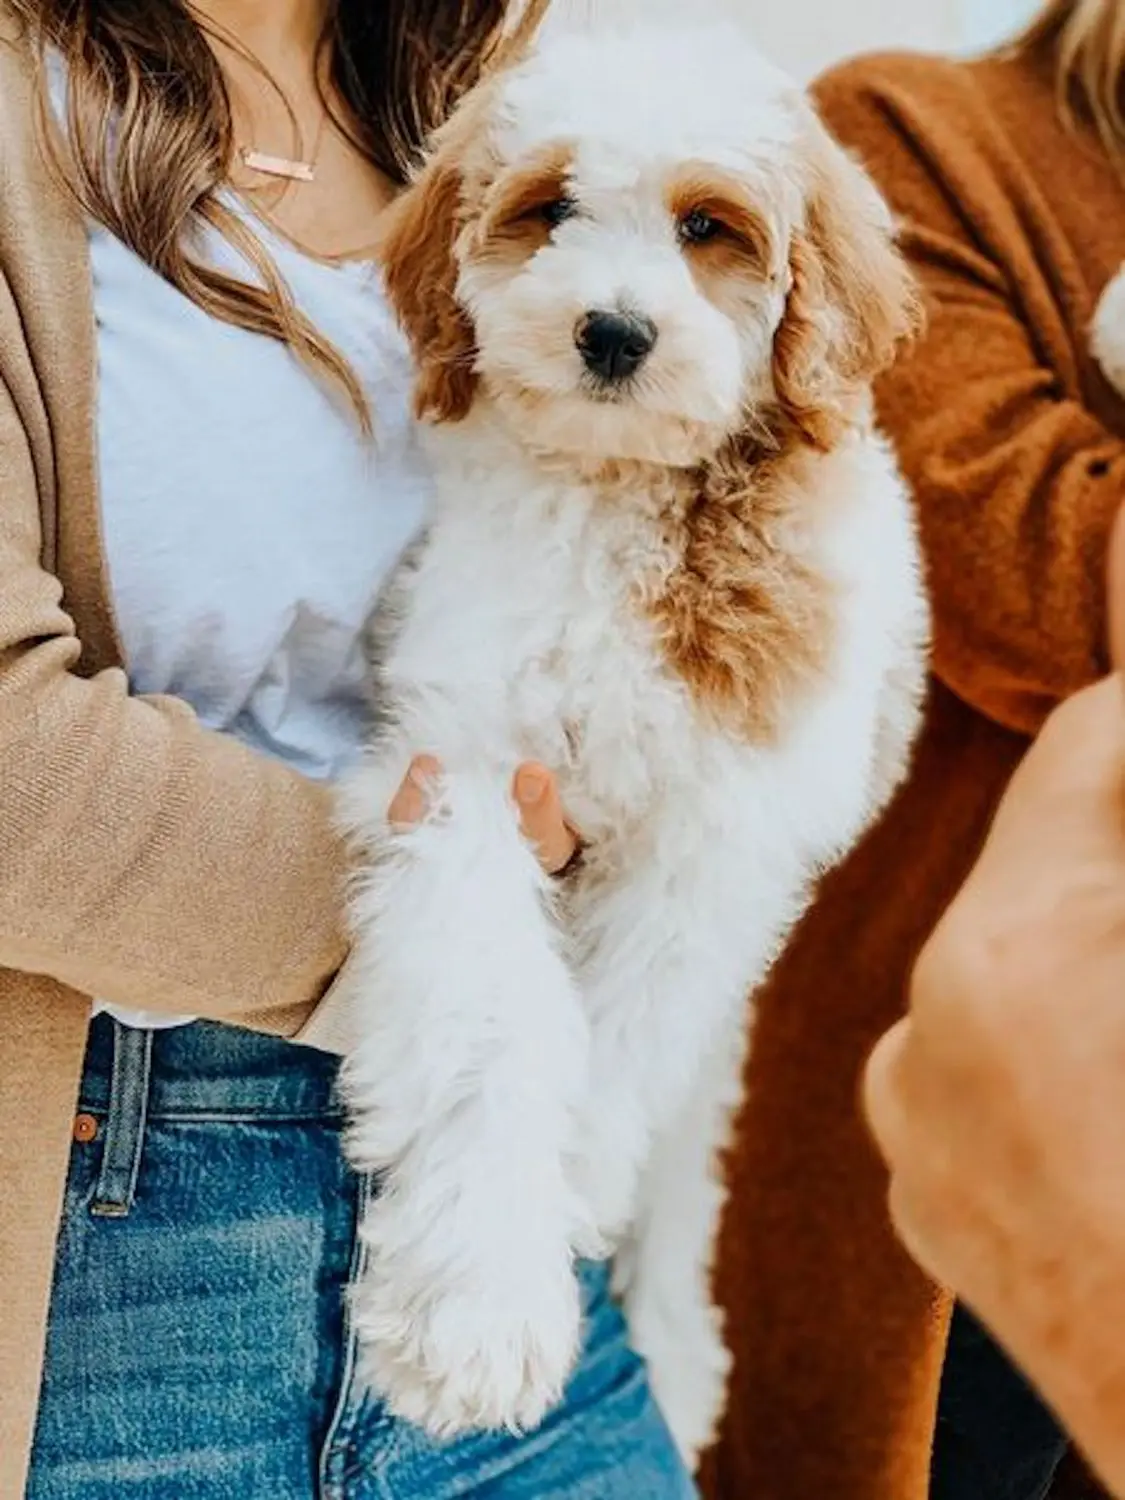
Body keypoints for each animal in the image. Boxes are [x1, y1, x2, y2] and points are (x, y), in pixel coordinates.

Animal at [337, 14, 936, 1464]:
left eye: (708, 226)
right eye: (549, 207)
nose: (611, 332)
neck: (620, 501)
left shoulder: (713, 854)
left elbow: (613, 1061)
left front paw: (531, 1266)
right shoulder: (467, 771)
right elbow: (498, 1019)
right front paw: (479, 1309)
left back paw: (673, 1347)